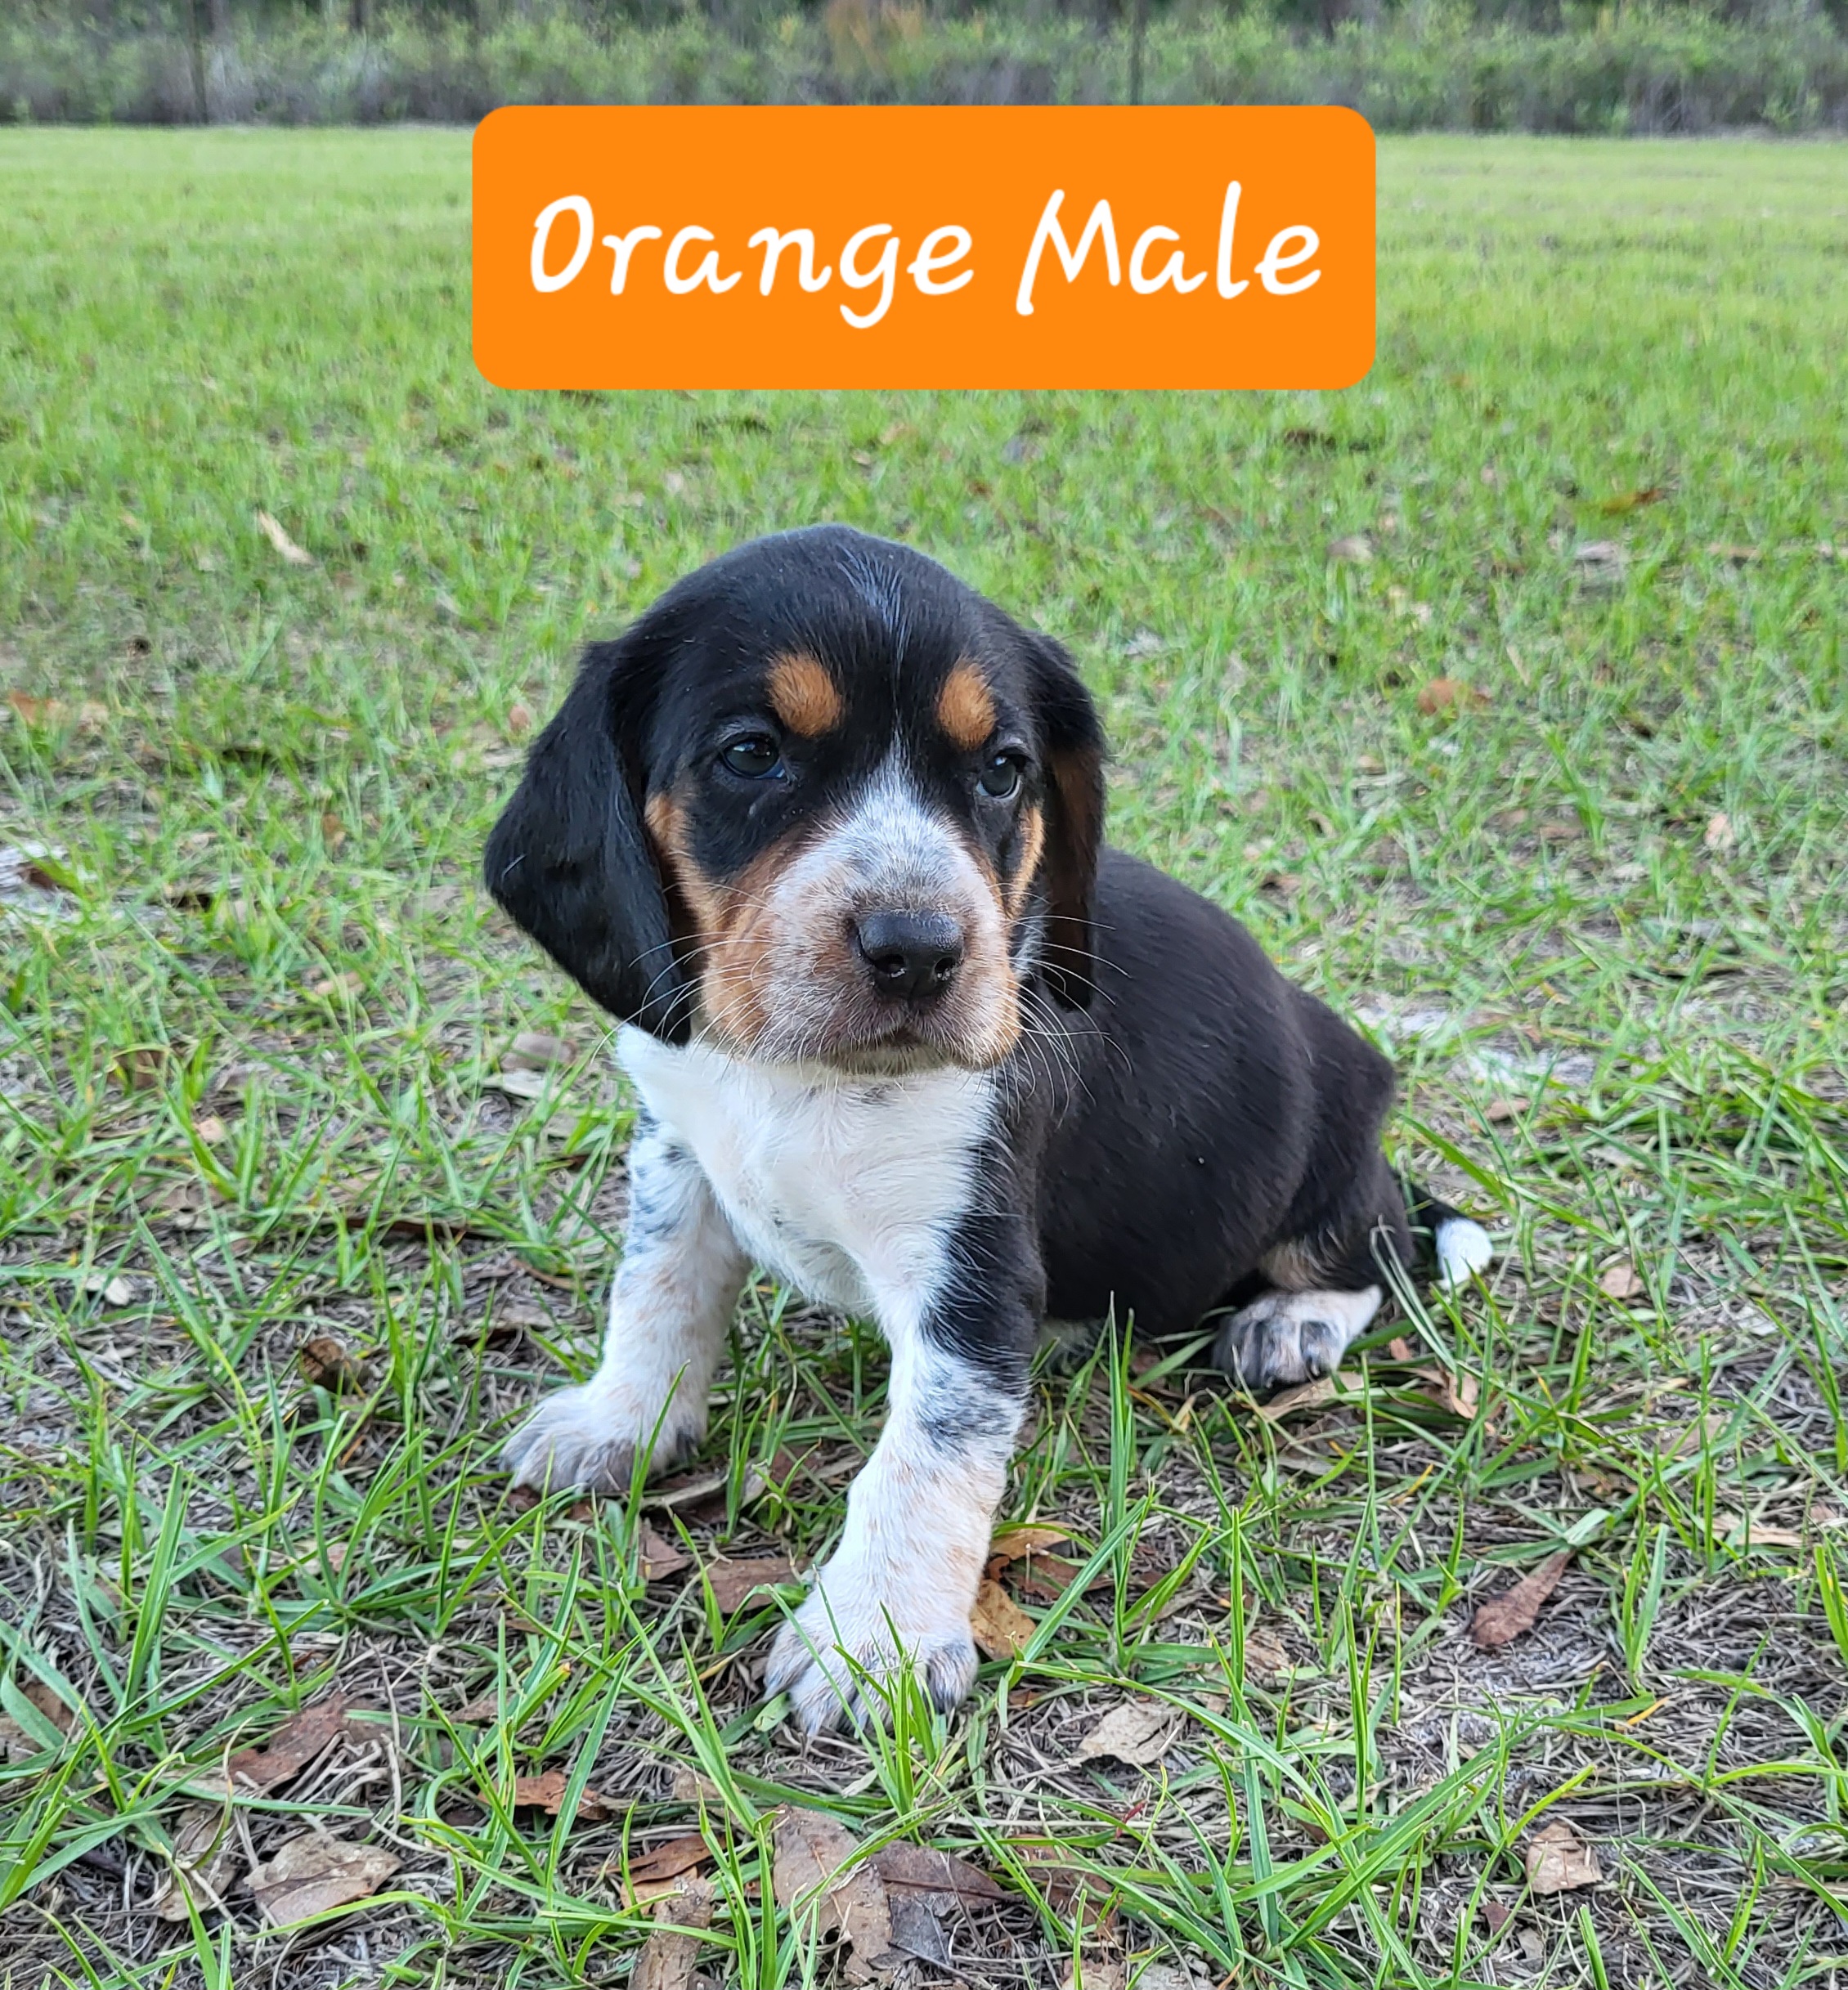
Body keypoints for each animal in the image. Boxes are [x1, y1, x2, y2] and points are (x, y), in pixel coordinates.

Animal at [484, 524, 1491, 1731]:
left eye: (1002, 770)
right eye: (751, 754)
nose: (919, 949)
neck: (795, 1076)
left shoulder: (967, 1272)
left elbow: (925, 1458)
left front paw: (870, 1634)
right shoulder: (678, 1151)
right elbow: (656, 1295)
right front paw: (620, 1421)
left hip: (1325, 1155)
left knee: (1376, 1245)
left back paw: (1293, 1320)